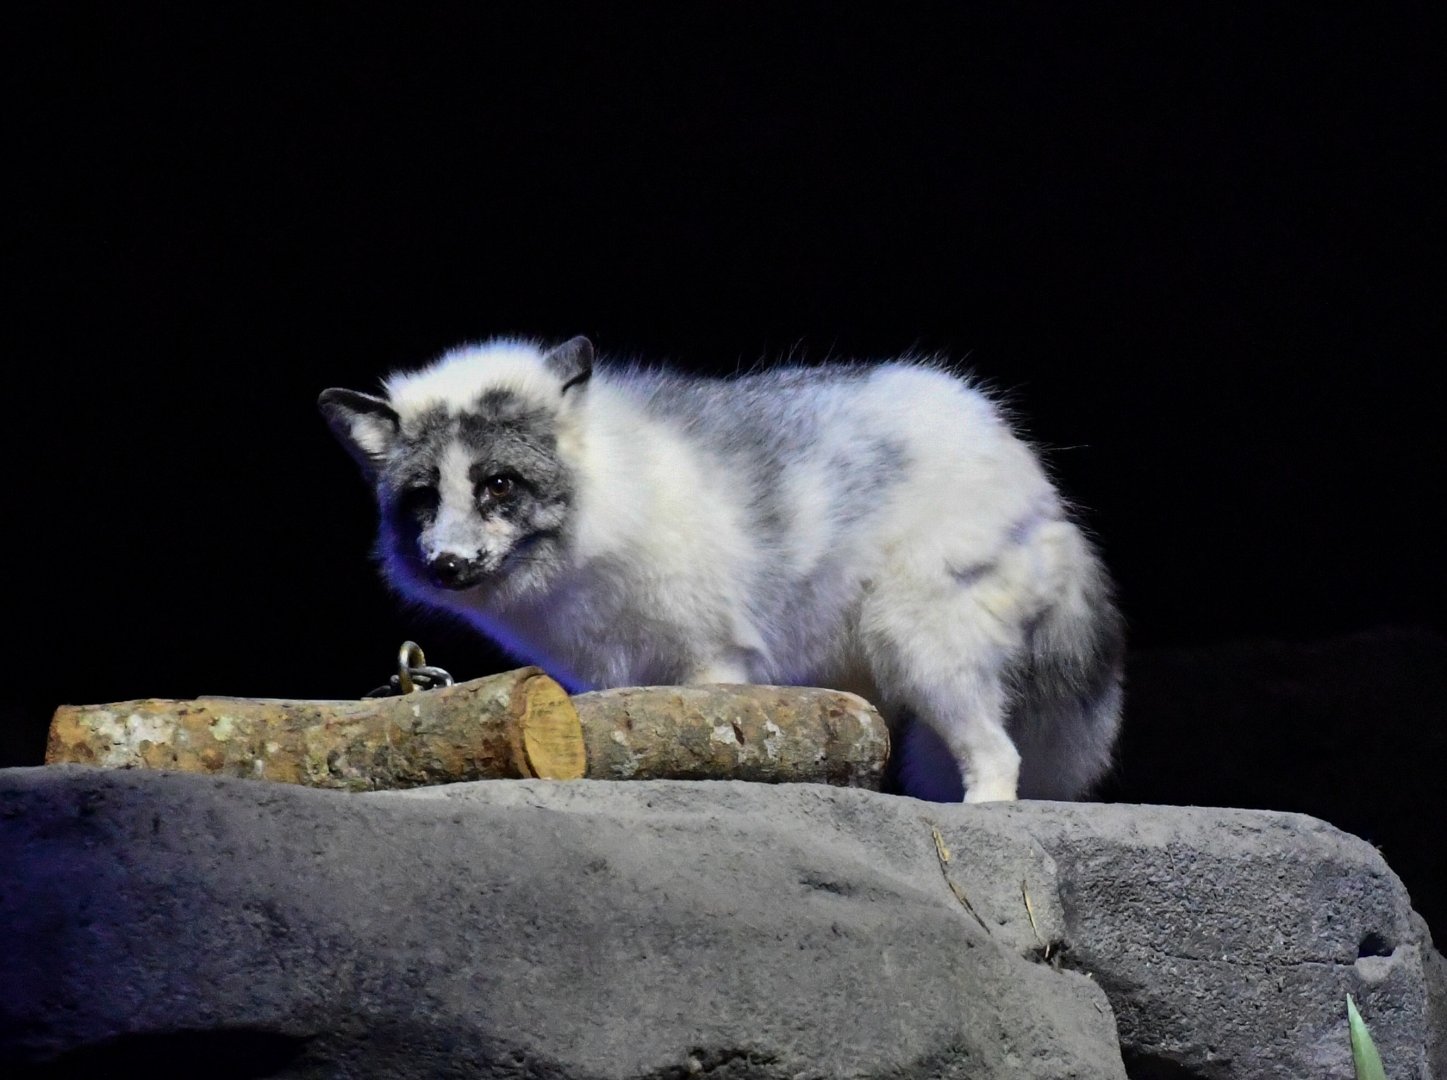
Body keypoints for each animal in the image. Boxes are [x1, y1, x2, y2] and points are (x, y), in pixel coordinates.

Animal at [319, 336, 1124, 802]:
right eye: (423, 498)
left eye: (498, 485)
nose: (448, 563)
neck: (617, 493)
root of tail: (1035, 484)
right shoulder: (607, 679)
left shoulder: (714, 662)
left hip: (919, 648)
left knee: (999, 757)